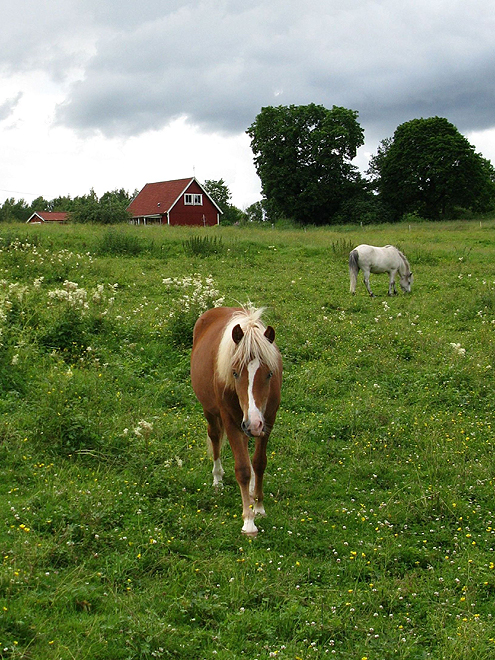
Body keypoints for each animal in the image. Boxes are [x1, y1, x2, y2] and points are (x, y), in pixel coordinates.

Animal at [191, 306, 282, 532]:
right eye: (234, 373)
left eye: (269, 374)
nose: (254, 423)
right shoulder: (231, 421)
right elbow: (242, 469)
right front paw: (248, 521)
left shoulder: (267, 421)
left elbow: (259, 463)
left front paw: (258, 506)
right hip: (212, 412)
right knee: (215, 437)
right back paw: (217, 480)